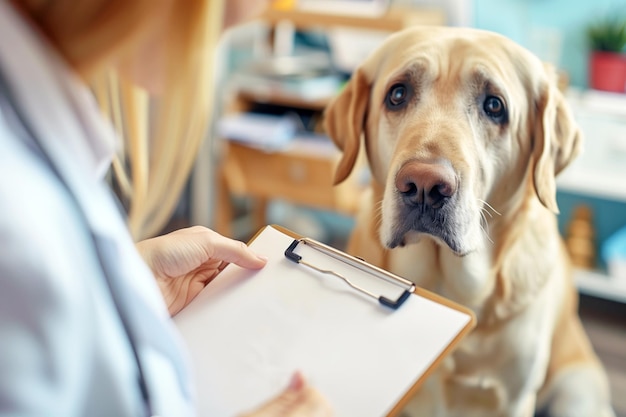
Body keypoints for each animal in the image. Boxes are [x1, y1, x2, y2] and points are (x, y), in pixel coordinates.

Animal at [324, 26, 612, 416]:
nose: (424, 185)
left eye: (494, 106)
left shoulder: (515, 399)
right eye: (397, 94)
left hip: (577, 393)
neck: (449, 285)